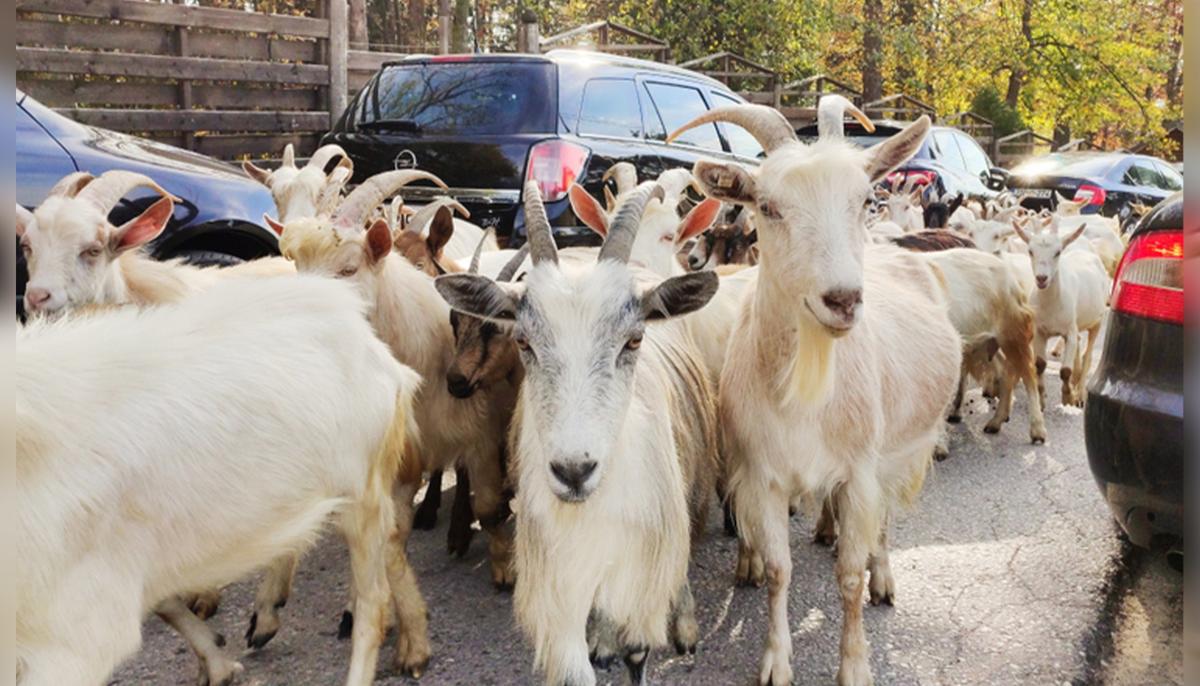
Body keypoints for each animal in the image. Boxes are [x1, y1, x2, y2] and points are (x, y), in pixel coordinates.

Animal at [436, 182, 720, 686]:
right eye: (523, 341)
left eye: (634, 339)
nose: (574, 471)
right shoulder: (557, 589)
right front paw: (598, 645)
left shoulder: (642, 569)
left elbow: (638, 652)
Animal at [671, 102, 961, 686]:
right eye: (767, 207)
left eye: (865, 200)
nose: (844, 299)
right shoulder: (764, 475)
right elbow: (778, 571)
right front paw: (776, 662)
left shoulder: (859, 473)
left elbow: (848, 577)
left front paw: (854, 666)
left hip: (894, 454)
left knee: (882, 526)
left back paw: (883, 577)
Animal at [1013, 215, 1110, 407]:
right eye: (1030, 251)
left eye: (1057, 252)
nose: (1041, 278)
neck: (1052, 304)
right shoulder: (1040, 331)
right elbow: (1040, 364)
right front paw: (1042, 398)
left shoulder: (1069, 331)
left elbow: (1065, 370)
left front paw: (1068, 396)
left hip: (1098, 320)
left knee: (1088, 354)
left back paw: (1080, 393)